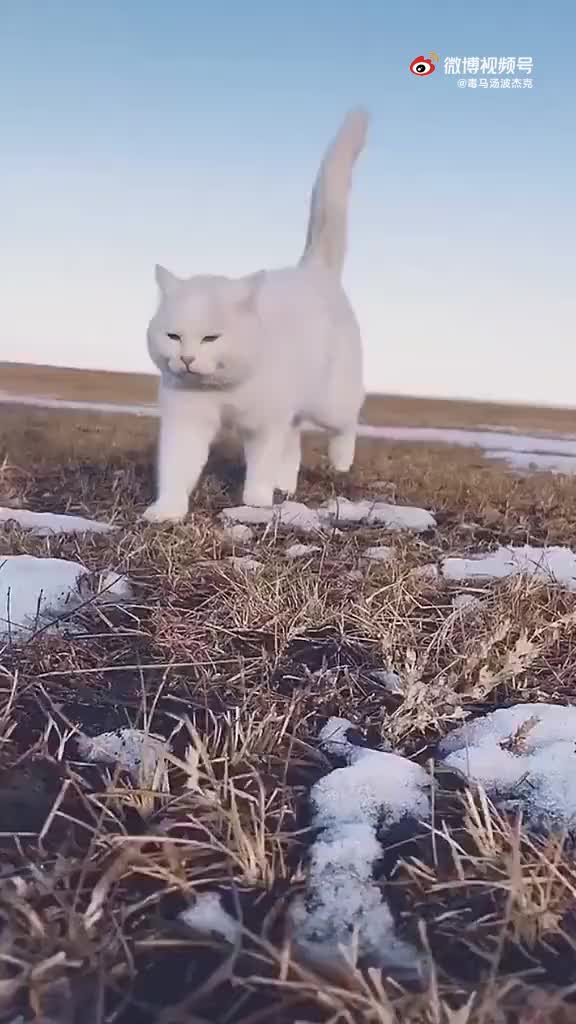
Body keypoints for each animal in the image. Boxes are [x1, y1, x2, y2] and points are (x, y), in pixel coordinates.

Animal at [143, 108, 366, 520]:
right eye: (173, 336)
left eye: (211, 337)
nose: (187, 358)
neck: (226, 389)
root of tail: (313, 270)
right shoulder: (186, 423)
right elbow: (176, 470)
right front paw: (166, 511)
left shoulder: (265, 425)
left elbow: (261, 462)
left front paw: (257, 501)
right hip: (296, 410)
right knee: (294, 443)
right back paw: (286, 485)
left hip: (331, 401)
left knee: (348, 421)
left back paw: (340, 462)